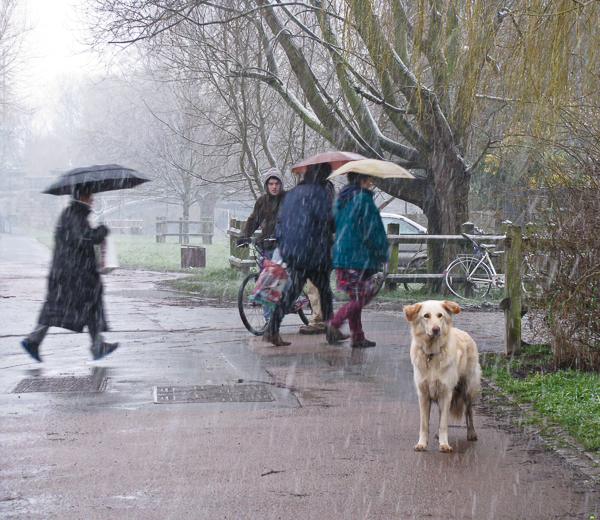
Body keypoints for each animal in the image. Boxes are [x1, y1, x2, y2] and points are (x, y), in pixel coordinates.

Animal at [404, 300, 482, 450]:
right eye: (426, 316)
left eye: (440, 315)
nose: (436, 329)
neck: (432, 354)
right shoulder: (424, 394)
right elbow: (425, 423)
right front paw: (422, 444)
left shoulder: (446, 392)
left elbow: (444, 423)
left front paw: (444, 445)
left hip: (467, 389)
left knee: (468, 412)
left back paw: (471, 433)